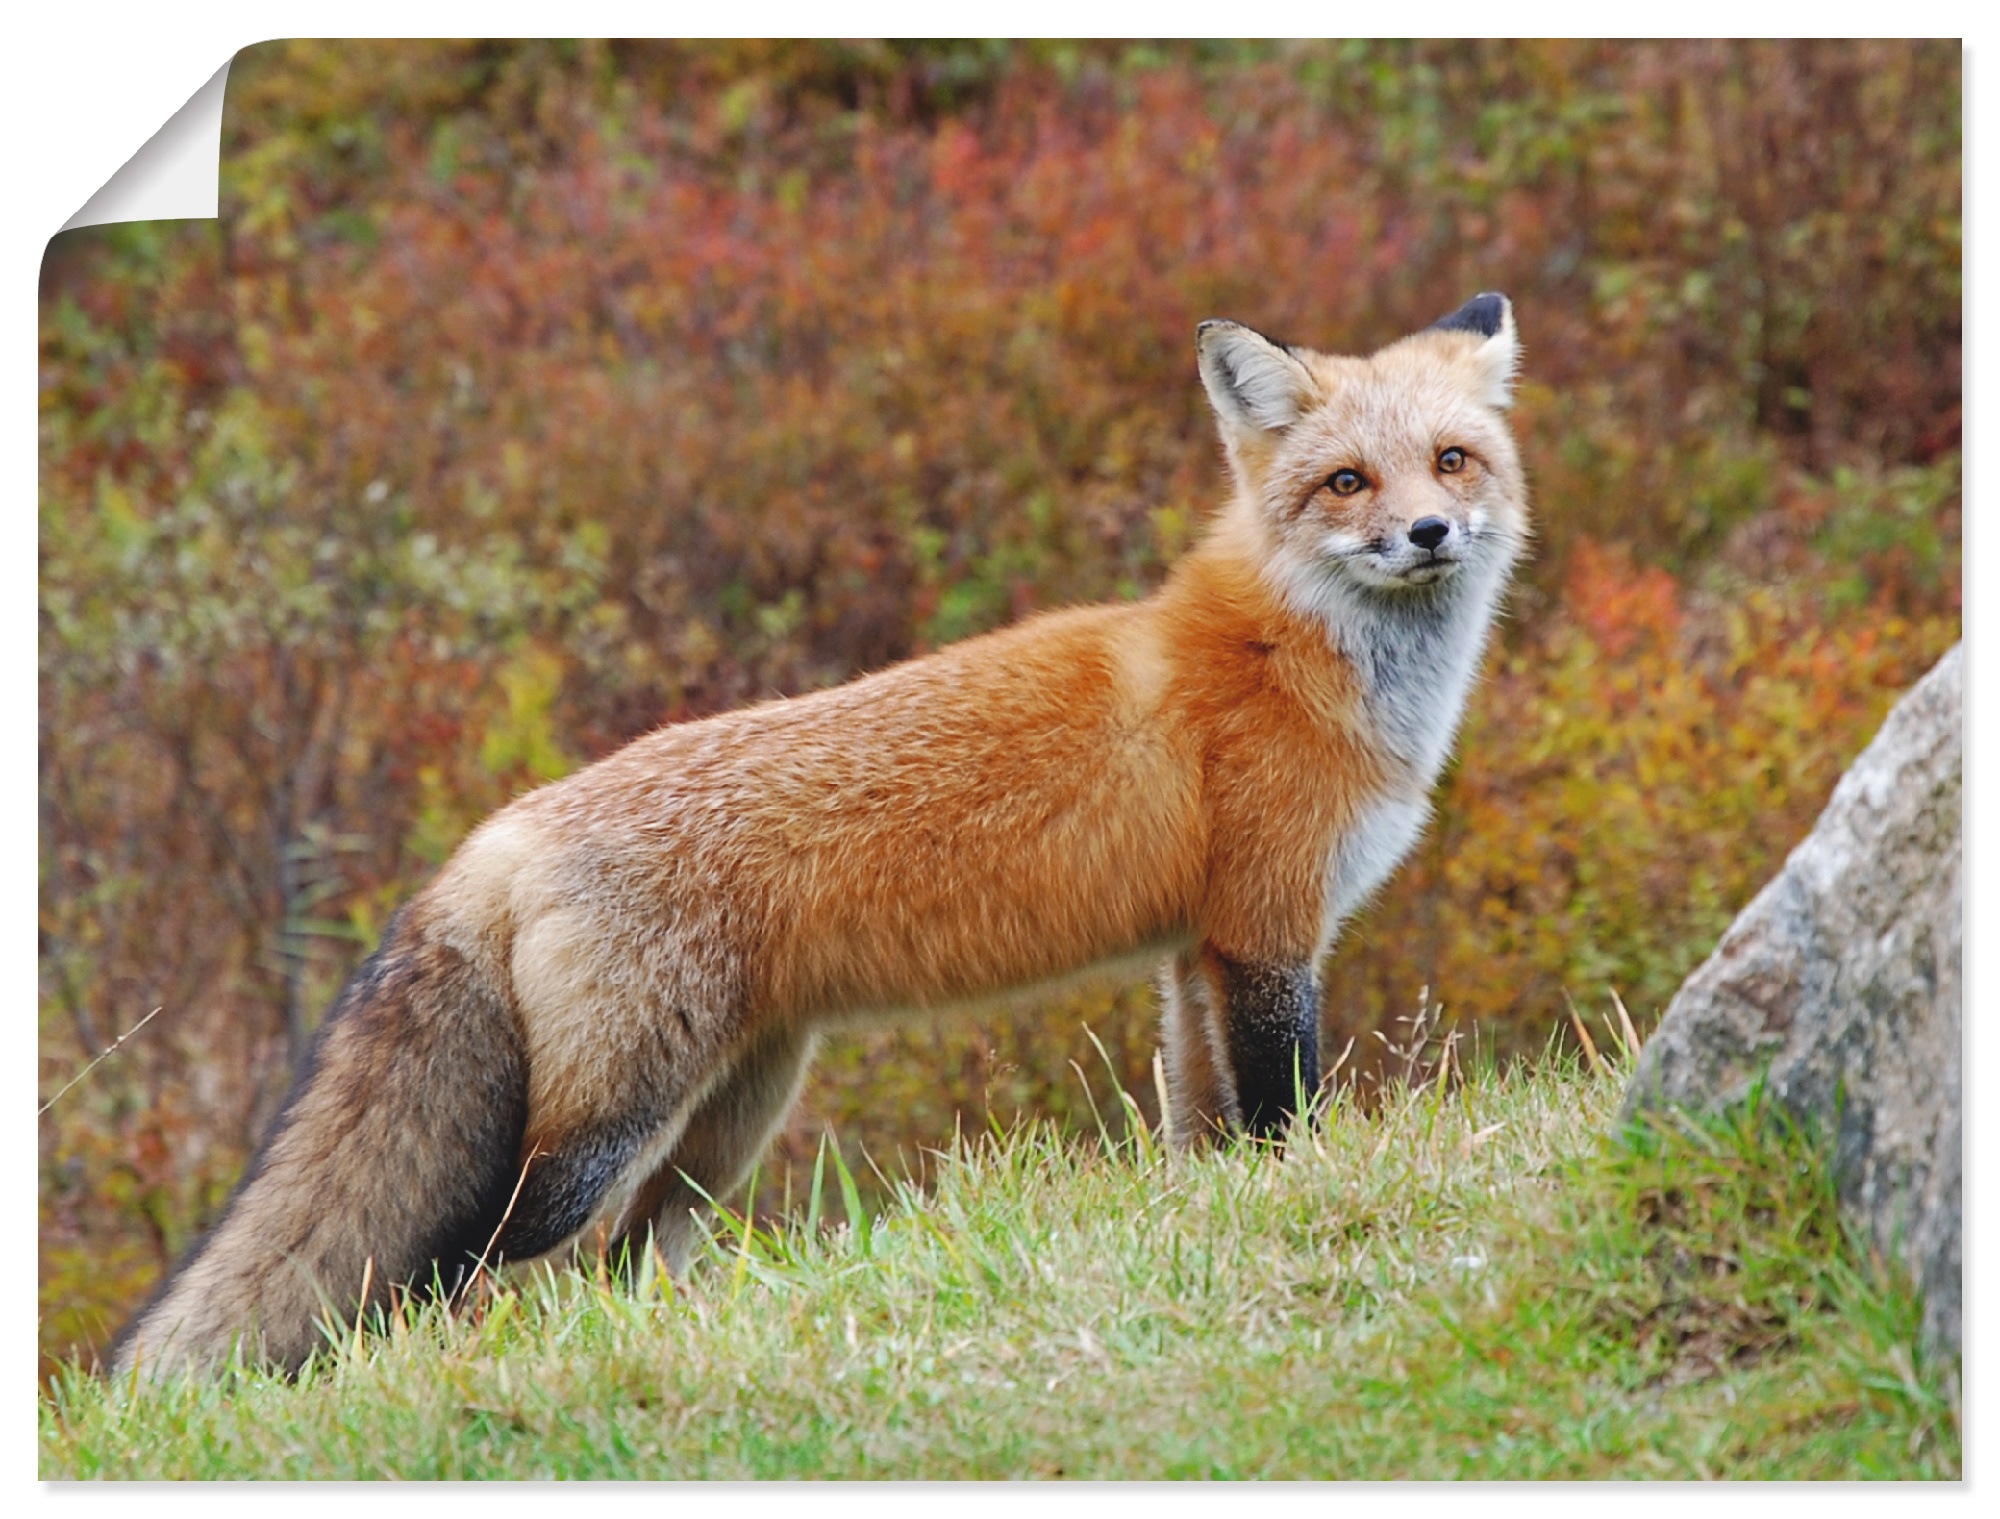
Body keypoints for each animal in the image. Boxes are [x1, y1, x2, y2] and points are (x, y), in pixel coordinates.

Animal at [110, 293, 1528, 1379]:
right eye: (1346, 481)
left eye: (1451, 460)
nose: (1425, 533)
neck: (1295, 659)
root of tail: (499, 832)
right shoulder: (1267, 931)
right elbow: (1285, 1117)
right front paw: (1297, 1197)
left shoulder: (1197, 952)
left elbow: (1202, 1129)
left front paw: (1207, 1222)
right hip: (604, 1127)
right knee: (462, 1263)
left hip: (729, 1119)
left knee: (626, 1260)